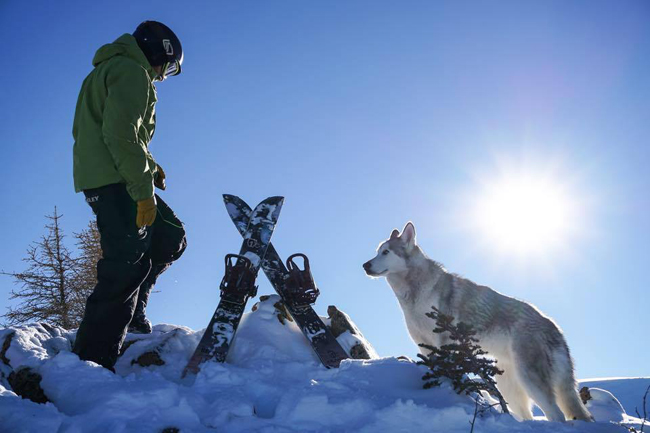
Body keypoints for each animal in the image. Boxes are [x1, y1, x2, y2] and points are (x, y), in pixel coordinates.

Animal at [362, 221, 588, 420]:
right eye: (377, 251)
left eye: (386, 252)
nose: (365, 265)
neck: (415, 293)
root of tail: (556, 329)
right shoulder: (424, 345)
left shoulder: (445, 342)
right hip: (509, 385)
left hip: (530, 380)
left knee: (557, 415)